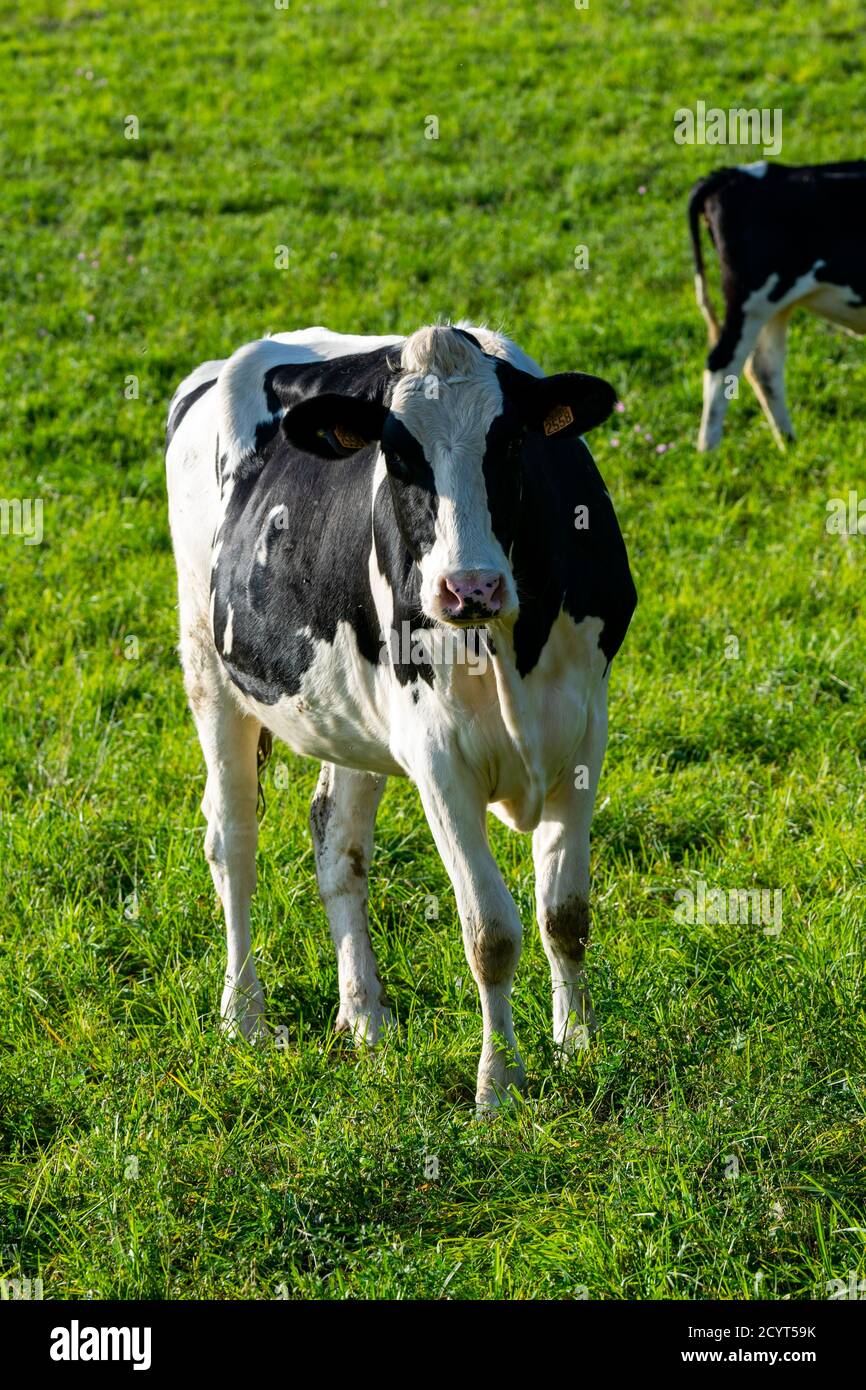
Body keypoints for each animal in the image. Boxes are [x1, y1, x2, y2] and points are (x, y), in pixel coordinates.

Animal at [165, 322, 636, 1108]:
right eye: (398, 454)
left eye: (510, 442)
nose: (469, 587)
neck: (509, 644)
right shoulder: (438, 756)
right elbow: (491, 933)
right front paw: (498, 1087)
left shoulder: (582, 732)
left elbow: (563, 914)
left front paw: (579, 1046)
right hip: (208, 662)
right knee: (231, 838)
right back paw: (245, 1017)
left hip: (354, 716)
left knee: (336, 841)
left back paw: (365, 1017)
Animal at [689, 160, 866, 450]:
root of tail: (731, 174)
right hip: (749, 300)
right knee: (722, 363)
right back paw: (708, 454)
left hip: (774, 307)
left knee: (764, 369)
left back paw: (789, 445)